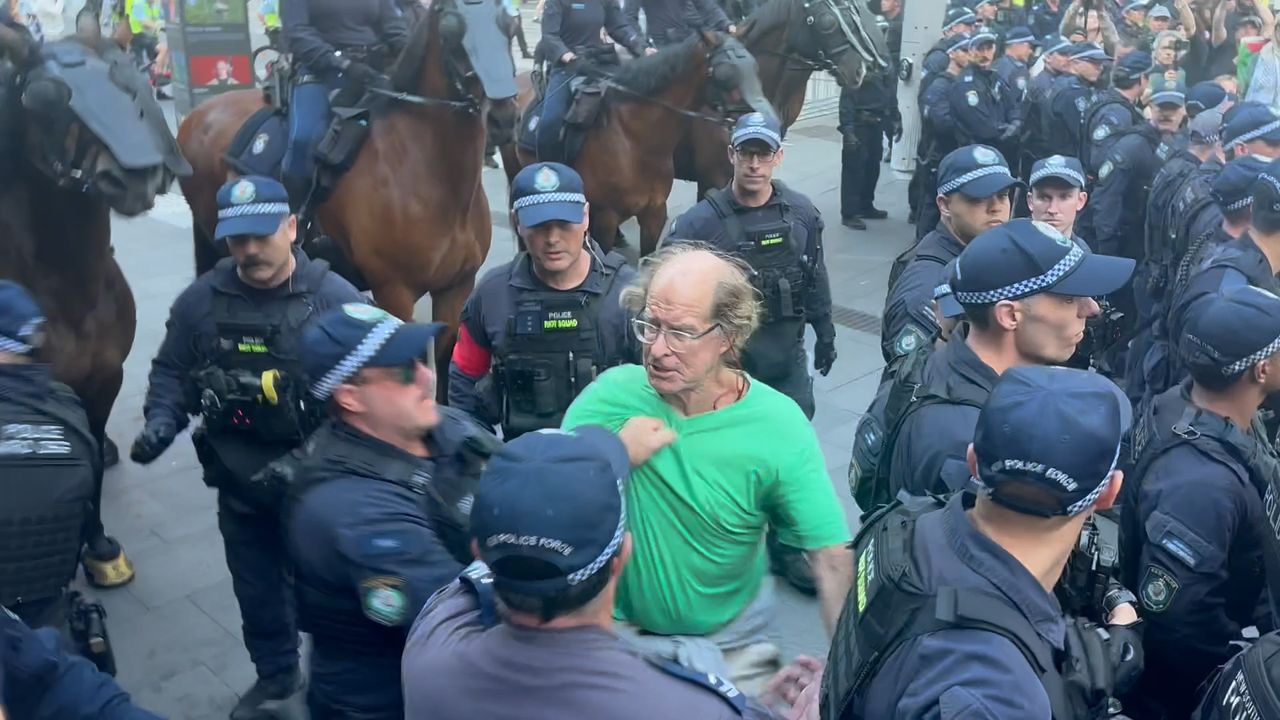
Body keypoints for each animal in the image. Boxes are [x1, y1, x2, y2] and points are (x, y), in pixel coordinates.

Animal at [175, 0, 518, 396]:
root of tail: (195, 116)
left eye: (508, 25)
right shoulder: (394, 291)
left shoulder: (455, 287)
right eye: (452, 33)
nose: (504, 118)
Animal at [504, 31, 776, 257]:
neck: (634, 140)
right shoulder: (606, 217)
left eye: (754, 67)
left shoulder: (654, 213)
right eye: (725, 72)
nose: (766, 119)